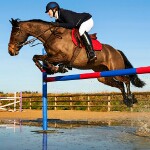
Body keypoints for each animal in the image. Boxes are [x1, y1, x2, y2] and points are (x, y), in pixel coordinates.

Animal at [7, 18, 145, 106]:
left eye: (16, 33)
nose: (10, 51)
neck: (52, 36)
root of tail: (116, 51)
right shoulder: (52, 56)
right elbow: (37, 57)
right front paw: (51, 69)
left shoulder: (62, 57)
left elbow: (40, 58)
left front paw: (55, 68)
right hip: (103, 76)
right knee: (120, 85)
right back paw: (126, 101)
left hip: (116, 70)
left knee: (126, 80)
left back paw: (130, 99)